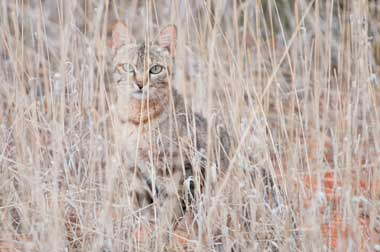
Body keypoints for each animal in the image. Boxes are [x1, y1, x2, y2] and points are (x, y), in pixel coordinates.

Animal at [110, 21, 232, 234]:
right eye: (128, 67)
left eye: (155, 69)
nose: (140, 84)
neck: (139, 120)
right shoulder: (136, 174)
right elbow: (144, 215)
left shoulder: (183, 173)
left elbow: (169, 214)